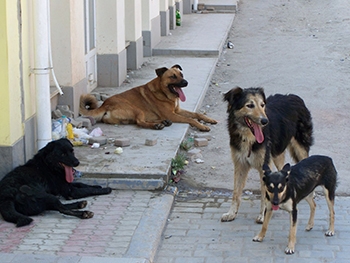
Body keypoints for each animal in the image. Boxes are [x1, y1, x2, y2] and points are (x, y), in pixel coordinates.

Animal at [80, 65, 216, 131]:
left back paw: (162, 122)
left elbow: (197, 114)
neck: (163, 93)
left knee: (139, 121)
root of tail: (105, 104)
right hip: (136, 109)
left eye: (181, 74)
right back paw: (157, 125)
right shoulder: (173, 114)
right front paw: (202, 126)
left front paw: (209, 119)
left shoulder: (177, 111)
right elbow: (191, 119)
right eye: (173, 76)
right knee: (140, 122)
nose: (186, 82)